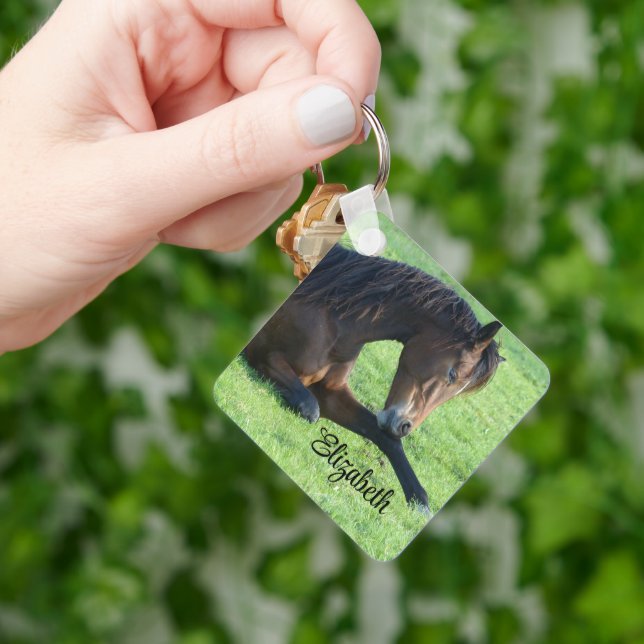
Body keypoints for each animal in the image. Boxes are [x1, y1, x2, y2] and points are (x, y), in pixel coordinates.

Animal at [243, 244, 504, 510]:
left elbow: (385, 438)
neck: (335, 318)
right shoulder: (267, 357)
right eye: (452, 374)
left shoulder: (331, 393)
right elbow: (309, 407)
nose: (404, 427)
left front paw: (419, 500)